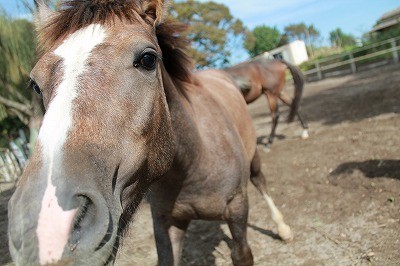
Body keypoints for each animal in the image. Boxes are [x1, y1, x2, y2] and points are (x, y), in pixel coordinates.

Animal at [7, 1, 292, 264]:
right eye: (35, 84)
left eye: (147, 59)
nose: (46, 230)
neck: (195, 162)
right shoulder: (165, 224)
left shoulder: (237, 211)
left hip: (253, 160)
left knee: (260, 181)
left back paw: (283, 228)